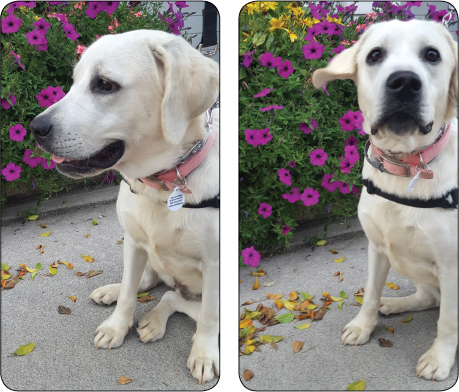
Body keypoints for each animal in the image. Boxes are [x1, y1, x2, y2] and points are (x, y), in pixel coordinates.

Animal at [29, 29, 220, 382]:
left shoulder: (215, 266)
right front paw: (117, 327)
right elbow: (131, 294)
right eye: (74, 81)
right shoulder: (133, 241)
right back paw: (113, 292)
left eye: (105, 84)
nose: (35, 128)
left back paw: (156, 321)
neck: (161, 187)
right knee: (152, 284)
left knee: (179, 300)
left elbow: (208, 318)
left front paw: (203, 354)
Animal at [314, 19, 458, 382]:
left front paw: (439, 358)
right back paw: (395, 304)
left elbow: (448, 321)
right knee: (429, 297)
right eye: (375, 55)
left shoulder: (452, 265)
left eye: (432, 55)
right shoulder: (378, 249)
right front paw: (363, 326)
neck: (405, 167)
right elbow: (369, 294)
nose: (404, 83)